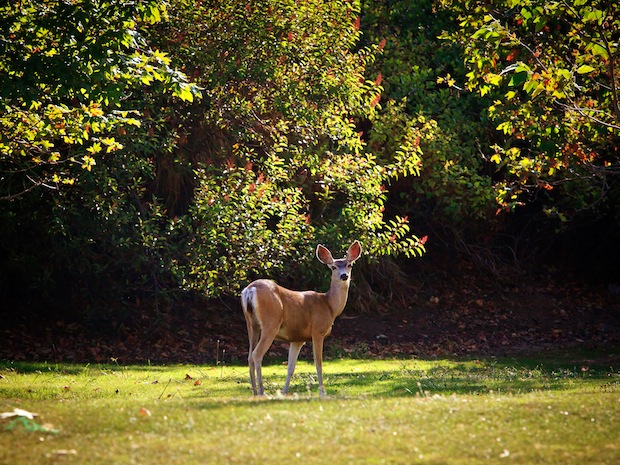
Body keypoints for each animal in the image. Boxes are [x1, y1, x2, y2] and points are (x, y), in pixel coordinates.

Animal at [240, 239, 360, 396]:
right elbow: (318, 363)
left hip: (251, 324)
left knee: (249, 356)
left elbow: (290, 368)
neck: (329, 306)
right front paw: (323, 393)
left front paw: (284, 392)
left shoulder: (297, 339)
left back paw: (255, 392)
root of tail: (250, 290)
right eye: (333, 267)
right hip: (270, 322)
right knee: (257, 354)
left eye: (349, 265)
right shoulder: (317, 331)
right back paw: (262, 392)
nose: (344, 276)